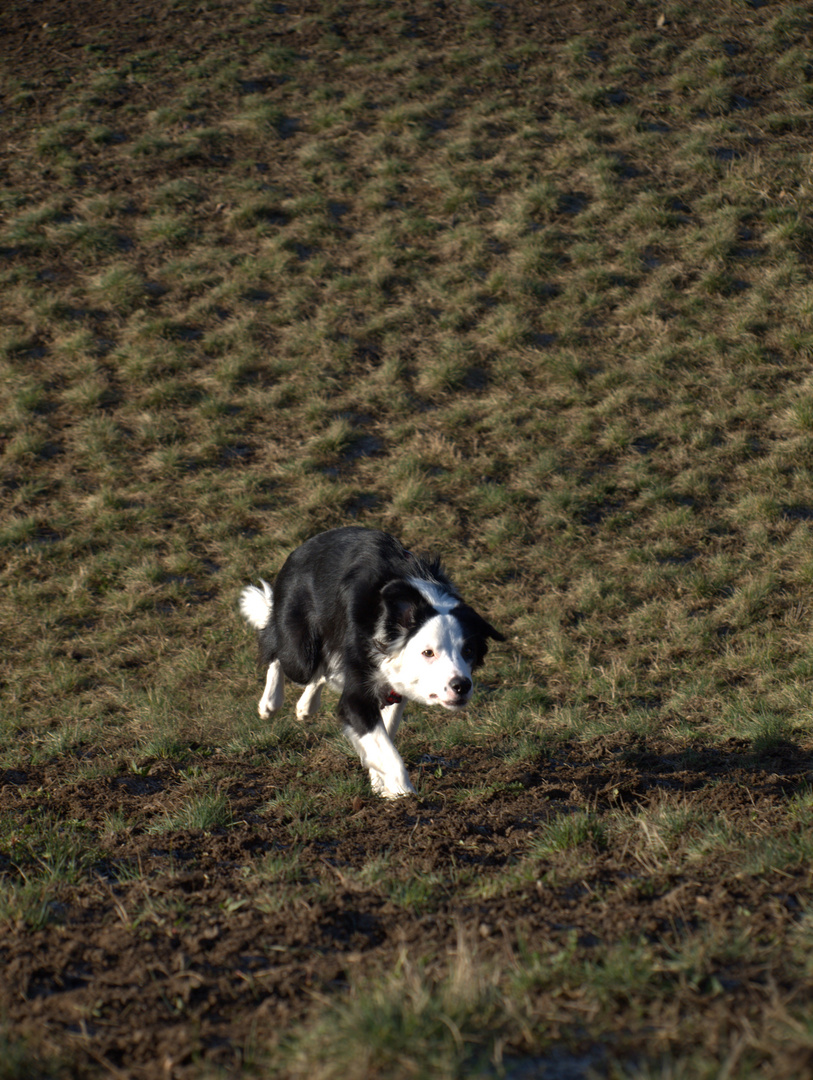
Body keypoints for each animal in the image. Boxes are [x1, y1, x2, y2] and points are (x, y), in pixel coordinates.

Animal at [237, 527, 505, 799]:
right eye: (428, 652)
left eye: (468, 650)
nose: (461, 686)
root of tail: (303, 546)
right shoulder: (358, 695)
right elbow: (387, 749)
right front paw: (404, 794)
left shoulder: (393, 685)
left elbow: (385, 733)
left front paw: (381, 782)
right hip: (300, 649)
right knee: (278, 648)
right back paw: (270, 702)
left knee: (324, 671)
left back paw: (306, 705)